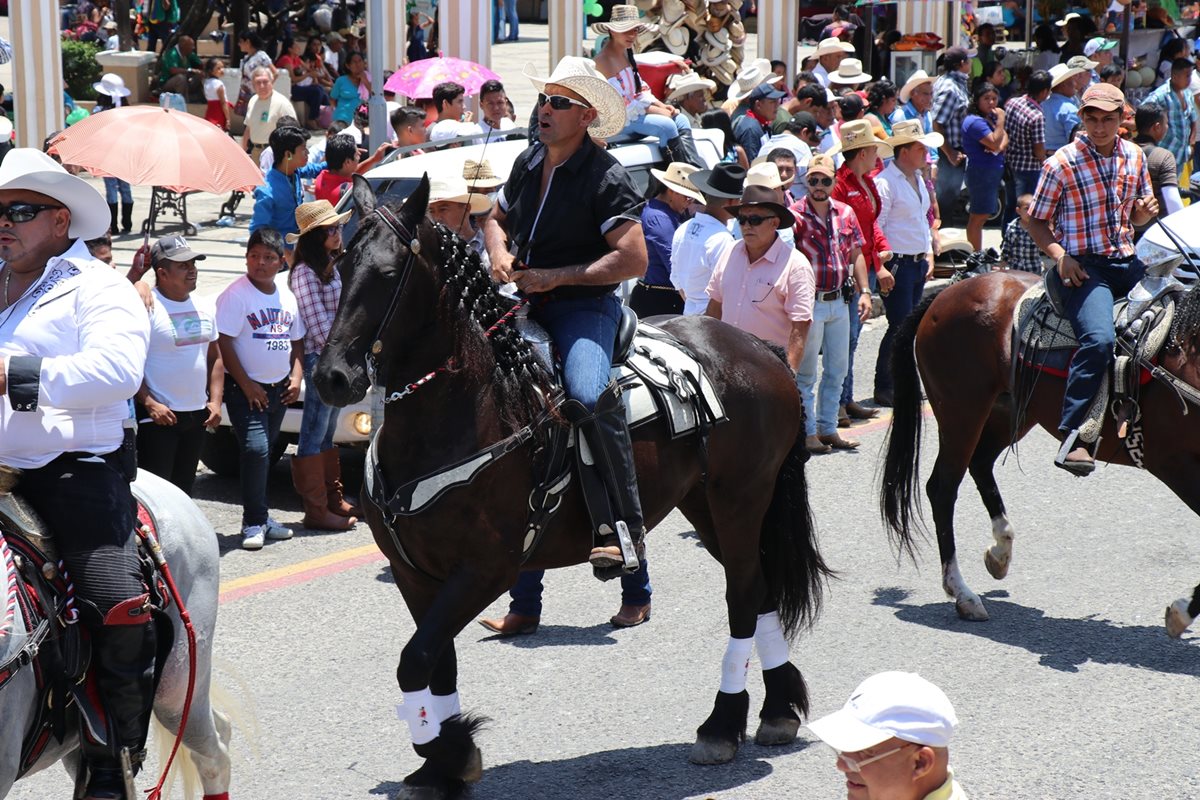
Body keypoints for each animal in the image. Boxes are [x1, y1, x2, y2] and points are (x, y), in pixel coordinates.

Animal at [314, 176, 830, 800]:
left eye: (390, 273)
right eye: (341, 264)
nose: (333, 377)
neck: (468, 411)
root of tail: (761, 350)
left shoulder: (486, 570)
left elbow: (414, 660)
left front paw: (449, 753)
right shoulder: (416, 575)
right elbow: (436, 662)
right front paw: (440, 762)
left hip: (741, 499)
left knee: (742, 596)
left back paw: (722, 724)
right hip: (705, 504)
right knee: (758, 590)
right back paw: (776, 711)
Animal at [878, 268, 1200, 638]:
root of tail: (949, 291)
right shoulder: (1174, 464)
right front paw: (1181, 613)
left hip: (1009, 411)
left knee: (980, 464)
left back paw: (1000, 550)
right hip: (961, 413)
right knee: (943, 488)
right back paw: (962, 593)